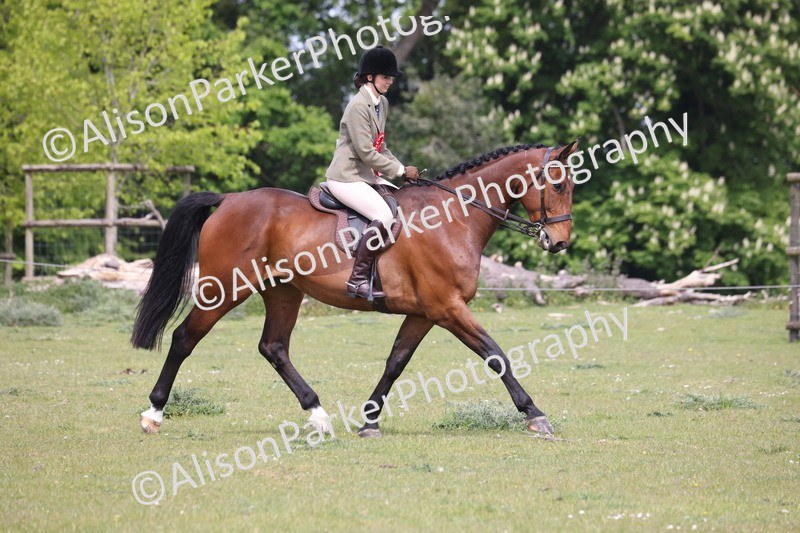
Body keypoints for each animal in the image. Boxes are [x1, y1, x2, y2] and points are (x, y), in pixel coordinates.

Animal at [131, 141, 579, 437]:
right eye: (558, 186)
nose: (559, 242)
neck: (454, 216)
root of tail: (228, 200)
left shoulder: (423, 313)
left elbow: (396, 362)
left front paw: (369, 420)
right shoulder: (447, 308)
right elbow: (495, 355)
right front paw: (534, 414)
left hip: (283, 291)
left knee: (274, 348)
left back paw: (318, 413)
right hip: (225, 288)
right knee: (184, 338)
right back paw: (154, 412)